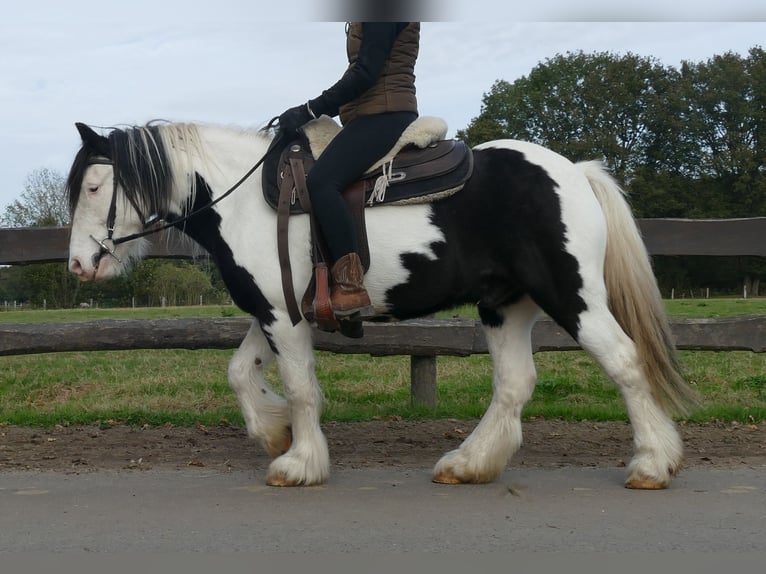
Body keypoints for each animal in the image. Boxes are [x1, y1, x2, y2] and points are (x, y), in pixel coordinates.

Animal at [69, 120, 700, 490]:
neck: (245, 200)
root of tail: (574, 172)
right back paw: (470, 463)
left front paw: (299, 461)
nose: (78, 265)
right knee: (515, 383)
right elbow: (240, 372)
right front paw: (274, 431)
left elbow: (300, 388)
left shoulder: (283, 316)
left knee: (624, 361)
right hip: (505, 304)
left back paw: (652, 463)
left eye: (95, 188)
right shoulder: (271, 312)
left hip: (571, 296)